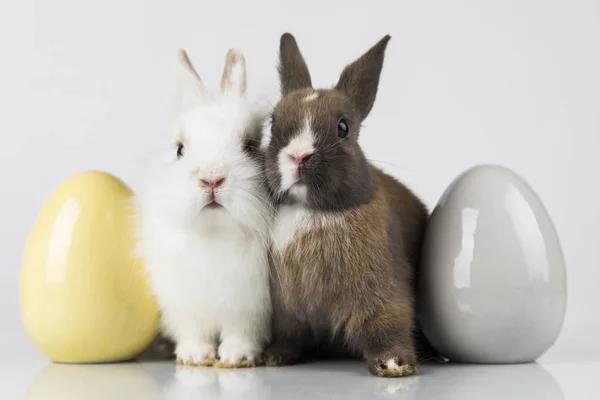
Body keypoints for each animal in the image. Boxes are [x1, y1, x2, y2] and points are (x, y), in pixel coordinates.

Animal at [134, 48, 272, 368]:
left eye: (250, 147)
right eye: (180, 149)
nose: (211, 178)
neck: (214, 235)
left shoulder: (249, 309)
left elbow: (240, 333)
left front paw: (236, 357)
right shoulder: (186, 305)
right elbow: (194, 332)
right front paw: (195, 355)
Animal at [264, 32, 434, 378]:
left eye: (343, 127)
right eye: (273, 125)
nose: (298, 156)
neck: (310, 211)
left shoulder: (381, 291)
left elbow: (387, 323)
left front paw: (395, 365)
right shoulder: (286, 311)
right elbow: (288, 334)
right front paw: (275, 357)